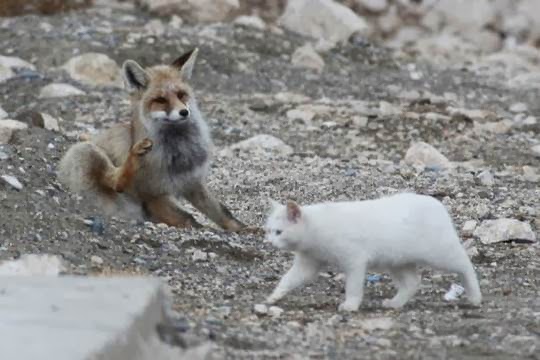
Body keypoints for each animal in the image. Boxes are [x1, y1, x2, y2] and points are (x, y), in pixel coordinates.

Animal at [57, 48, 247, 231]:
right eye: (161, 100)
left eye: (181, 95)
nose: (184, 112)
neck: (178, 153)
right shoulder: (152, 193)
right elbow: (187, 218)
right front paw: (197, 228)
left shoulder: (193, 182)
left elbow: (222, 212)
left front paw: (244, 229)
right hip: (85, 151)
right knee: (116, 182)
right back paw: (134, 156)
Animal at [264, 191, 484, 312]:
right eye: (268, 230)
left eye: (279, 232)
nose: (269, 242)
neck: (316, 229)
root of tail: (437, 203)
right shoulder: (308, 263)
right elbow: (288, 279)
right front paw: (274, 296)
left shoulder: (354, 260)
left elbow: (353, 287)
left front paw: (350, 305)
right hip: (397, 261)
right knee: (413, 282)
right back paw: (395, 303)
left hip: (439, 253)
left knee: (465, 264)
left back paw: (475, 296)